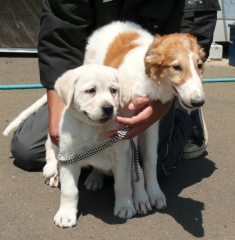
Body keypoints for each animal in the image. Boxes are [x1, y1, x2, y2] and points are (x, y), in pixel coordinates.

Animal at [84, 21, 206, 210]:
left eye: (199, 65)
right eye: (176, 67)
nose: (199, 102)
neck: (150, 82)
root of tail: (113, 23)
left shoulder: (150, 124)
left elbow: (150, 161)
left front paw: (155, 193)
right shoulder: (129, 127)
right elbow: (135, 166)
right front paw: (140, 198)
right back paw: (95, 176)